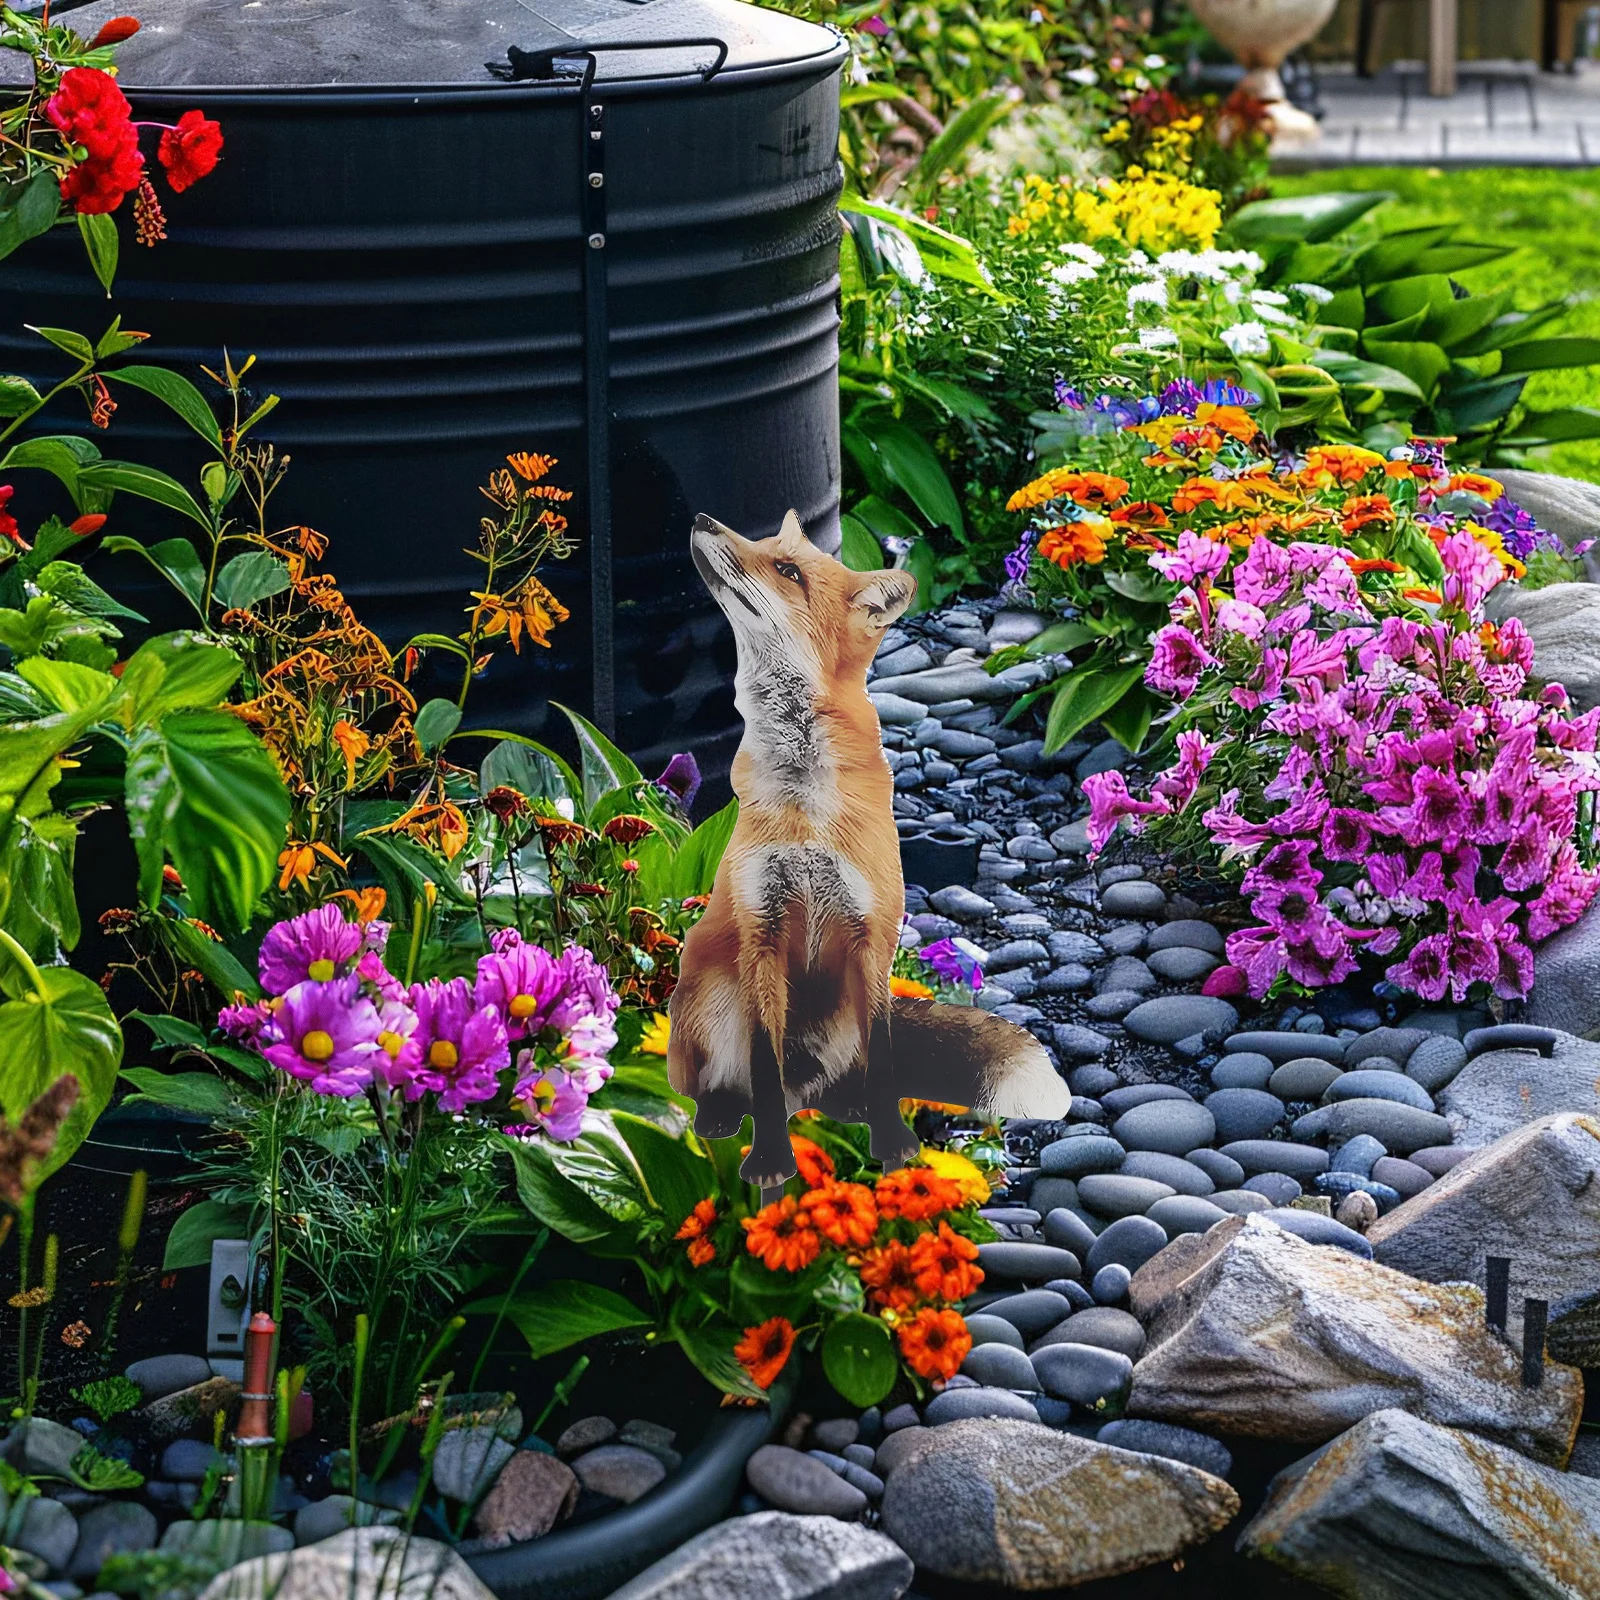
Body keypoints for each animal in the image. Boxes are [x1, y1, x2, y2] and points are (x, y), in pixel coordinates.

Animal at [667, 509, 1070, 1186]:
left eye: (787, 569)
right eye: (767, 548)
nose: (701, 518)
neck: (804, 810)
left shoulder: (871, 936)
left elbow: (883, 1065)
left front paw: (896, 1149)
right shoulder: (761, 932)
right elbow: (764, 1068)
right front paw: (771, 1160)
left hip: (845, 1014)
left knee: (847, 1078)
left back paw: (850, 1108)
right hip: (712, 992)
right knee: (739, 1086)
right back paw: (721, 1117)